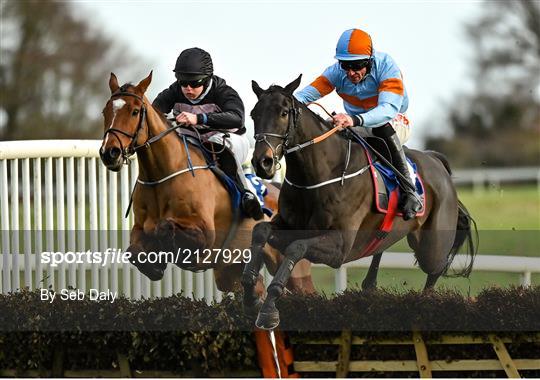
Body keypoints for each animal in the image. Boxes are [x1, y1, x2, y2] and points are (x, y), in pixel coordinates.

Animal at [99, 72, 314, 294]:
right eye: (105, 111)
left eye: (134, 111)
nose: (110, 153)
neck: (161, 176)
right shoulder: (140, 229)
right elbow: (133, 251)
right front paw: (154, 266)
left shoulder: (204, 236)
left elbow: (165, 226)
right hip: (231, 271)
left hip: (294, 272)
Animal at [240, 75, 476, 328]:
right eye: (253, 114)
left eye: (284, 112)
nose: (262, 162)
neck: (322, 173)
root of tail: (436, 159)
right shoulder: (289, 224)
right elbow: (261, 231)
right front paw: (250, 298)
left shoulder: (341, 246)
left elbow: (297, 247)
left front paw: (268, 310)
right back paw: (369, 286)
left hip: (431, 246)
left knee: (435, 268)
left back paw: (426, 303)